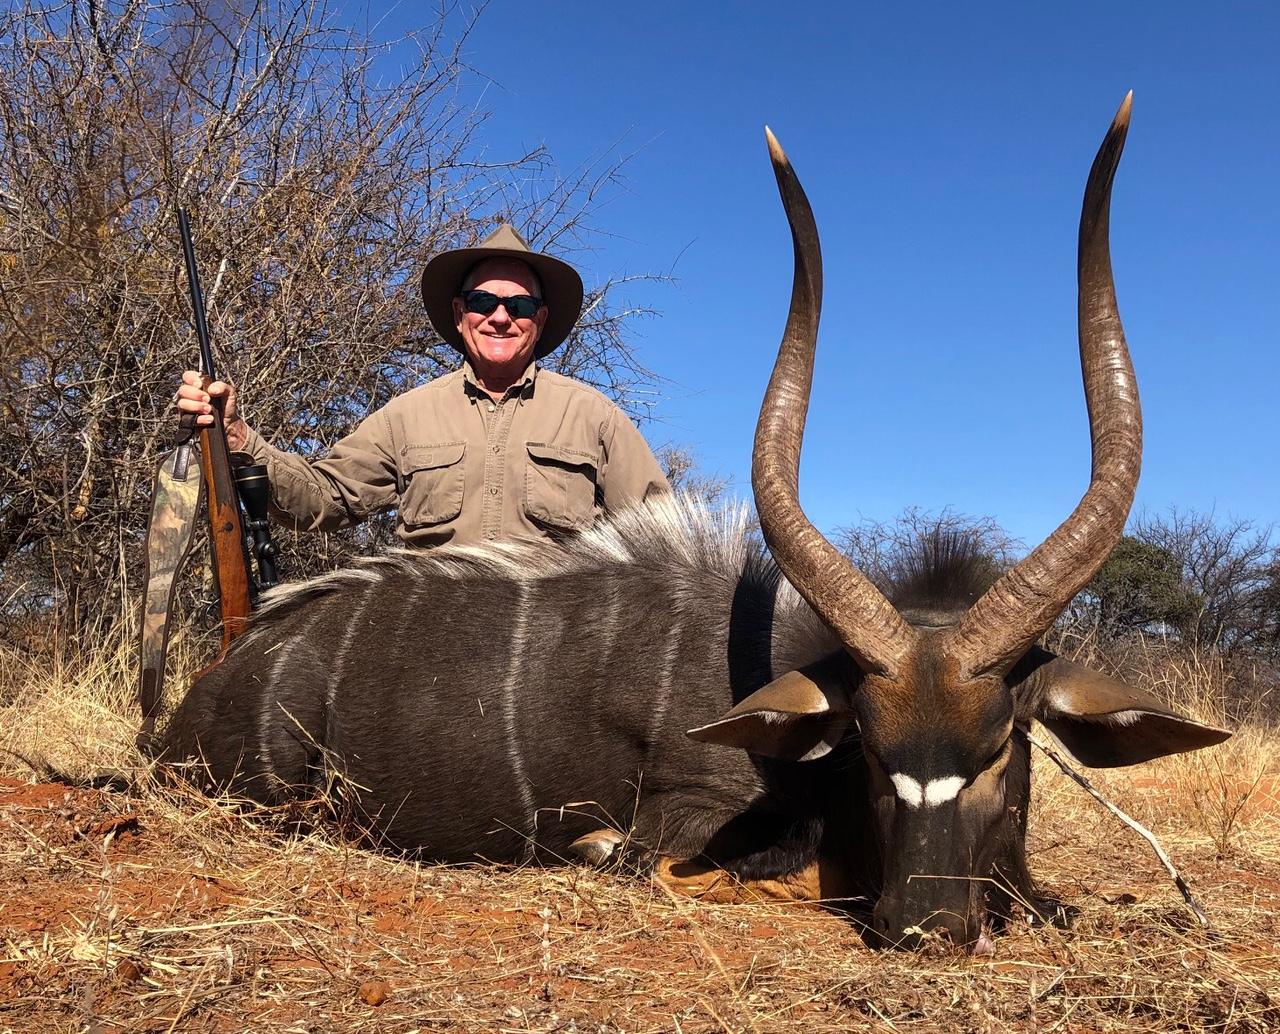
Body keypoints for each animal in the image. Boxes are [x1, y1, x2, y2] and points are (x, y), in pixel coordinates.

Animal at [154, 95, 1230, 951]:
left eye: (1002, 748)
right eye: (868, 750)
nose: (925, 924)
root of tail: (217, 681)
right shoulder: (680, 820)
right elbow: (704, 866)